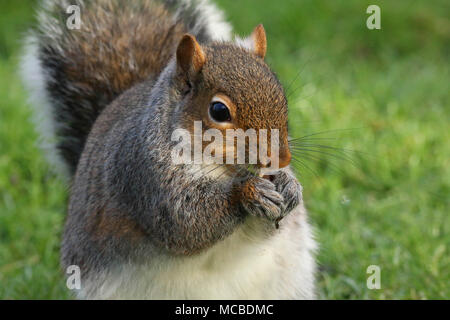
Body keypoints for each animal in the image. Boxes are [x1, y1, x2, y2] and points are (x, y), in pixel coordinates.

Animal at [21, 0, 316, 300]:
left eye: (281, 96)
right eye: (219, 110)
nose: (282, 158)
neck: (222, 170)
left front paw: (289, 186)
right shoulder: (143, 174)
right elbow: (185, 223)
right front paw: (249, 192)